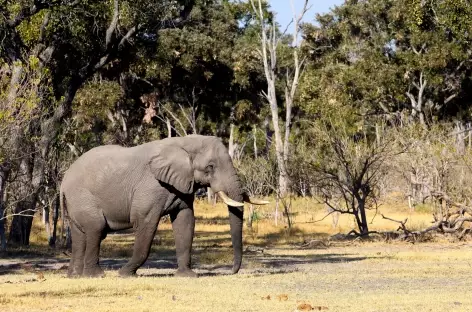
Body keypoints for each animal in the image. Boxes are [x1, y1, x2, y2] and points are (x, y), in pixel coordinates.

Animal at [60, 134, 268, 278]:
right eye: (210, 167)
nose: (231, 271)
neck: (184, 142)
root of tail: (63, 182)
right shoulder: (150, 187)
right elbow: (145, 222)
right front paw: (125, 274)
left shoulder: (183, 185)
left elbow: (185, 221)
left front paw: (187, 276)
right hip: (83, 197)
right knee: (96, 229)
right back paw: (95, 275)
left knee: (80, 234)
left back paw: (75, 276)